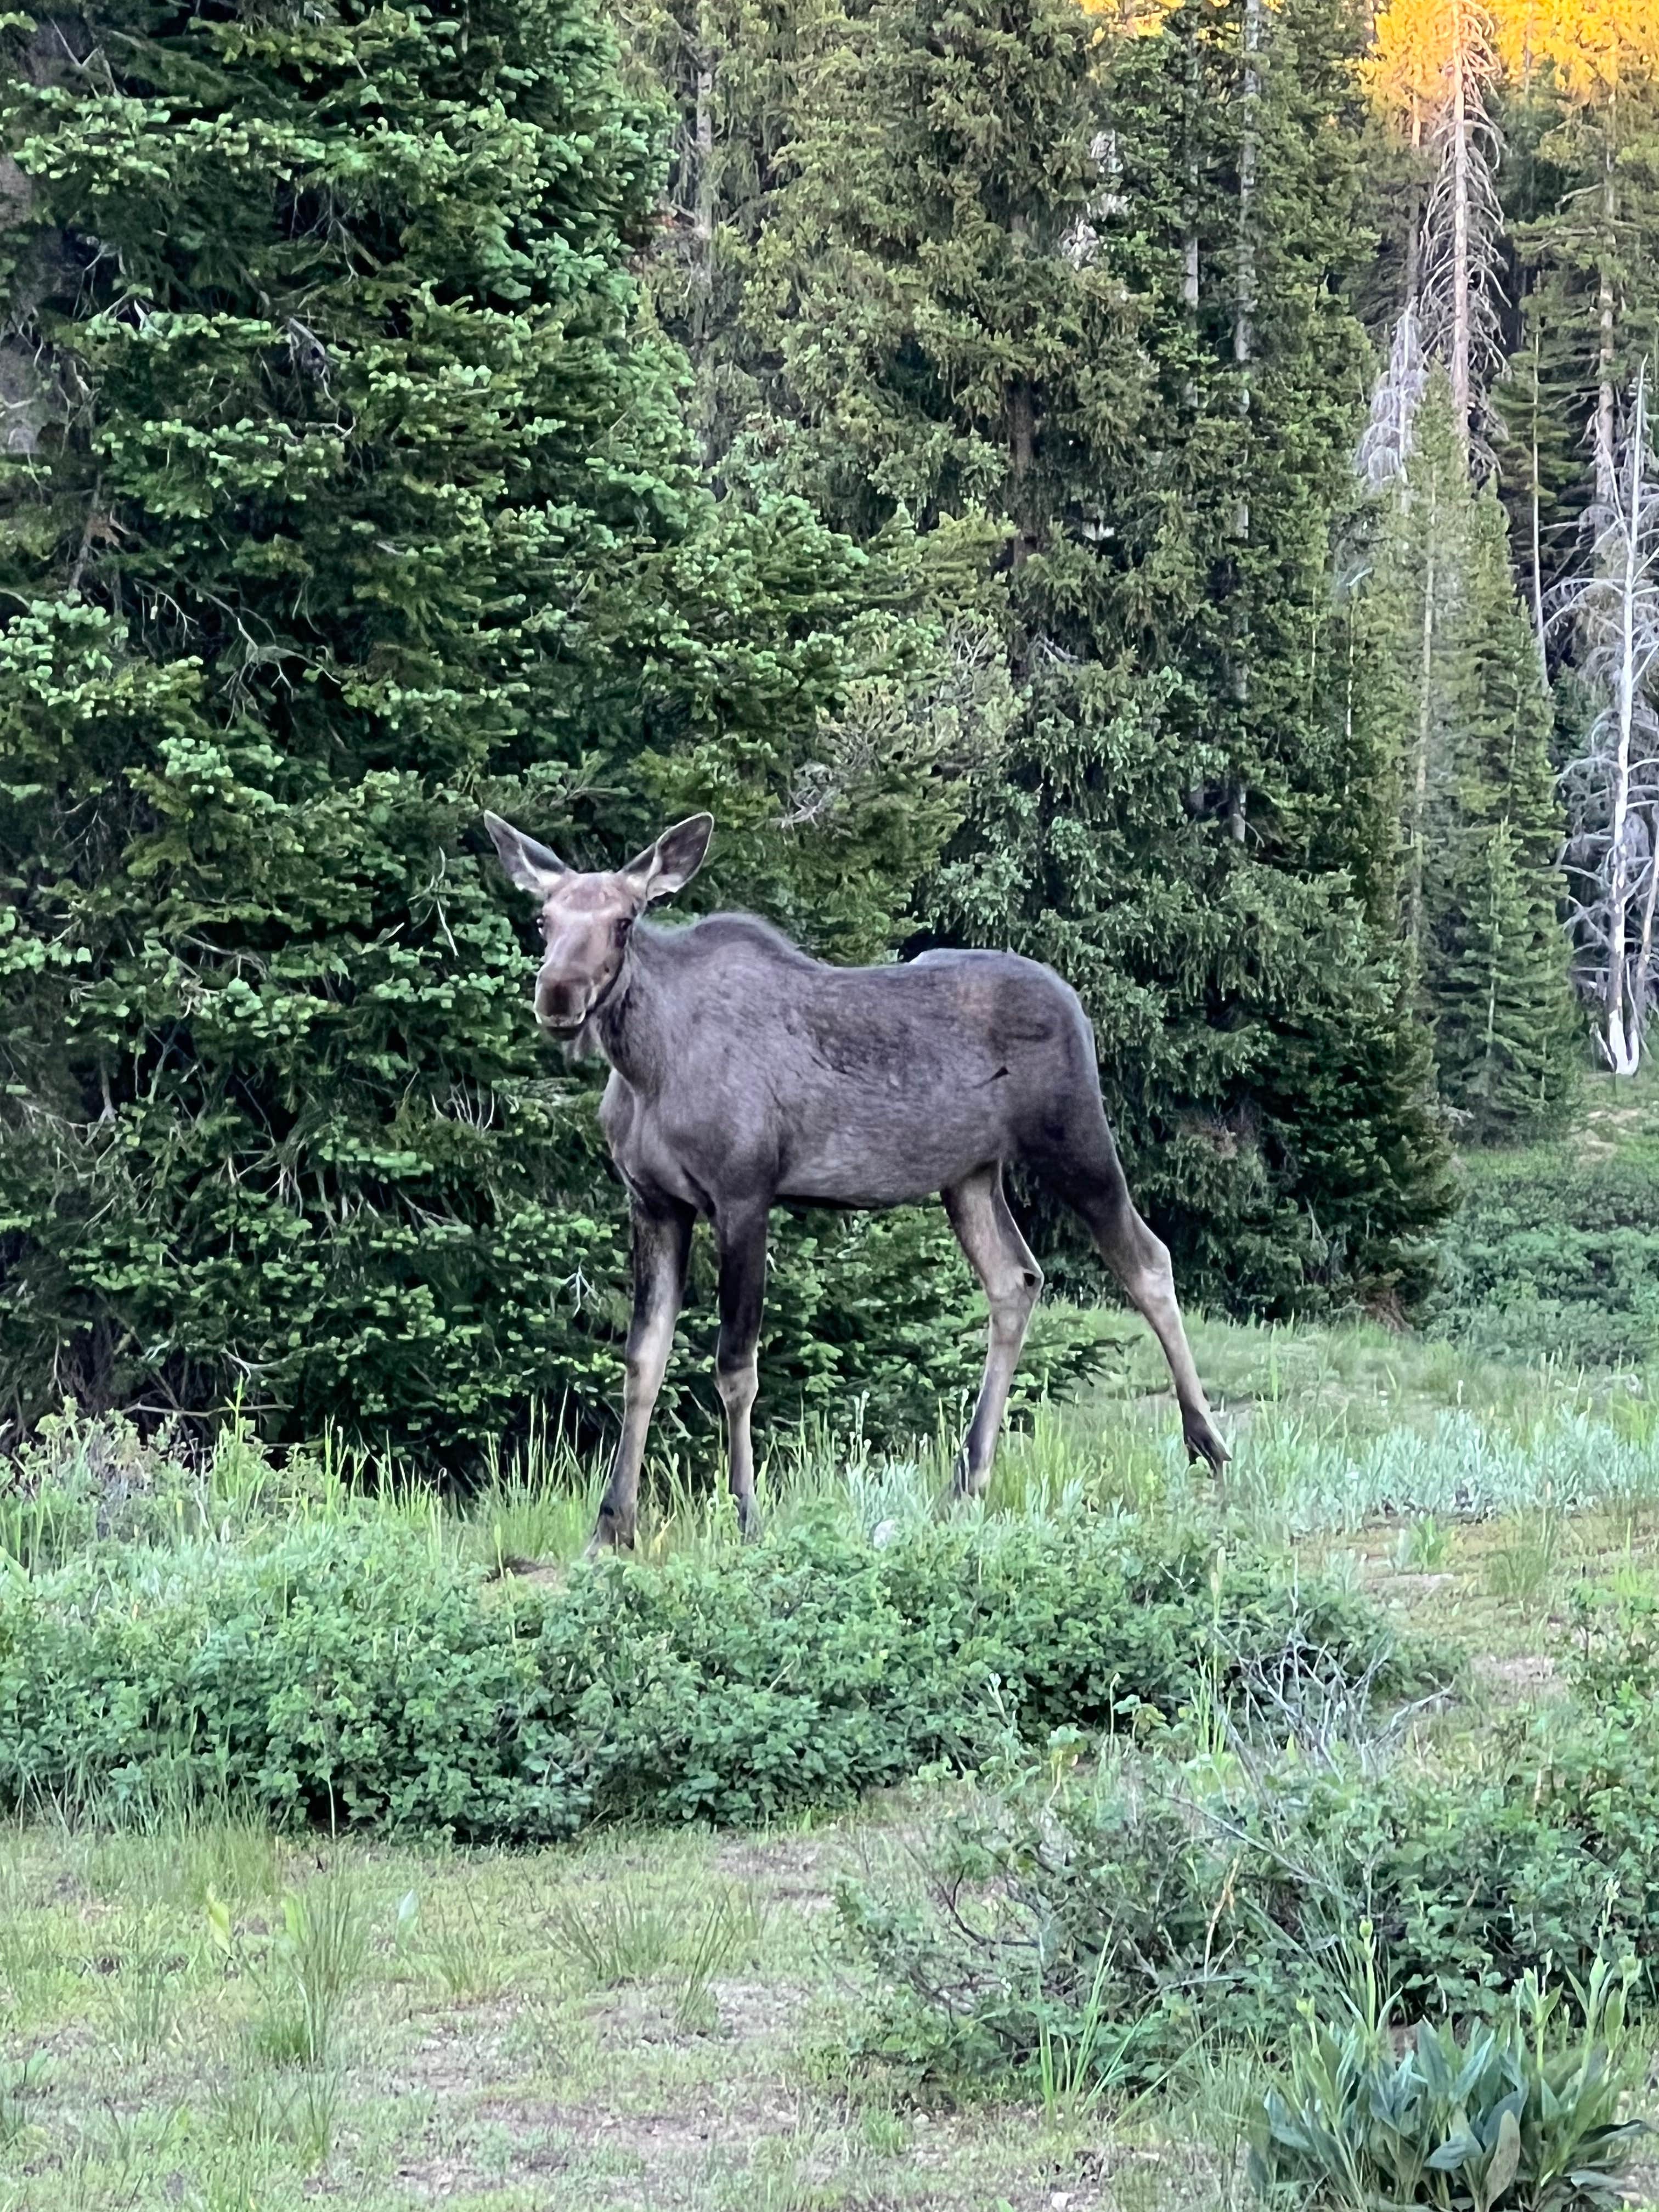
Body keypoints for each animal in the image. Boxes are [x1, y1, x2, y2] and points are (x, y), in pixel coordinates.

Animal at [487, 805, 1229, 1548]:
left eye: (625, 920)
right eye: (544, 919)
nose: (558, 995)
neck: (647, 1070)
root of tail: (1075, 1001)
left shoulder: (743, 1193)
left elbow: (736, 1367)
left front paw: (746, 1513)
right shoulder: (654, 1202)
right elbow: (642, 1361)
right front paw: (612, 1525)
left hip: (1073, 1136)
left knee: (1146, 1259)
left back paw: (1208, 1444)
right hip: (969, 1173)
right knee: (1015, 1280)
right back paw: (966, 1480)